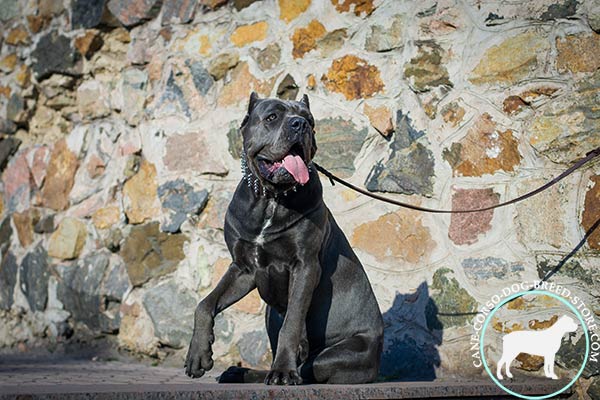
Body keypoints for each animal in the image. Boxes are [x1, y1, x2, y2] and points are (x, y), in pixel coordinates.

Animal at [182, 93, 384, 384]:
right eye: (272, 117)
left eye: (310, 120)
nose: (300, 124)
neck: (271, 198)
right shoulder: (243, 268)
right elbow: (205, 303)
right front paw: (198, 354)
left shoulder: (305, 266)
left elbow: (292, 322)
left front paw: (284, 372)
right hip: (270, 313)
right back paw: (238, 372)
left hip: (342, 353)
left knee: (309, 366)